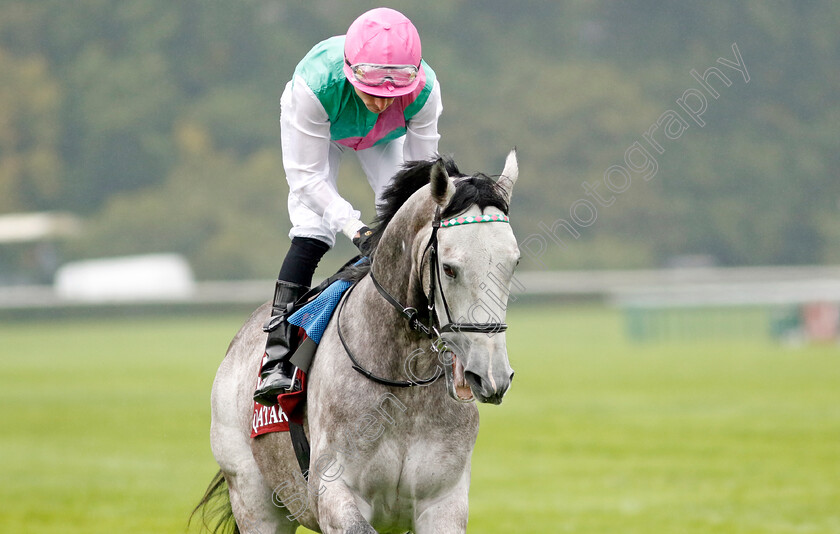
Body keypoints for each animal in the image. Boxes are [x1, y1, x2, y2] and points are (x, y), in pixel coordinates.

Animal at [198, 152, 520, 534]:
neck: (403, 382)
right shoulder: (334, 491)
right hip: (253, 498)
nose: (491, 376)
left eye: (514, 263)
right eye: (449, 268)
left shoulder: (443, 501)